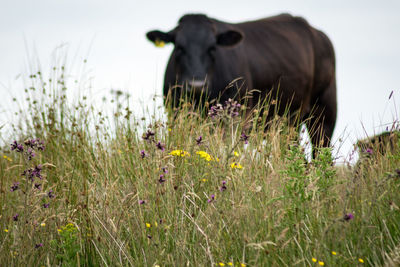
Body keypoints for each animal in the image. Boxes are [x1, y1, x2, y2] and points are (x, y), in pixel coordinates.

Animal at [145, 13, 336, 155]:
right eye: (179, 47)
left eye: (212, 48)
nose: (197, 85)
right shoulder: (175, 113)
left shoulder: (235, 118)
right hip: (289, 123)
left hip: (324, 114)